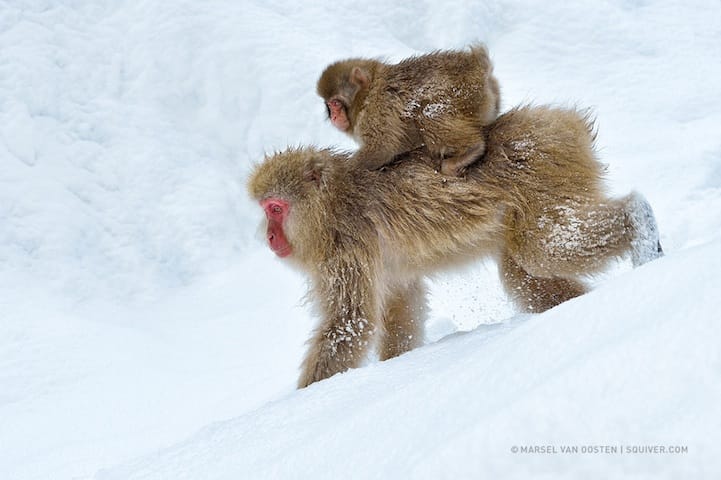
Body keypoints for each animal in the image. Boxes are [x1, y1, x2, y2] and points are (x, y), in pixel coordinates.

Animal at [249, 107, 664, 388]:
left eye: (276, 209)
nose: (268, 237)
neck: (332, 203)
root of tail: (559, 122)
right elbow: (402, 303)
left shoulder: (345, 247)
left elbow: (350, 323)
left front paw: (304, 399)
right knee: (526, 271)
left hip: (542, 174)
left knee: (543, 248)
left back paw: (638, 221)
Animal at [318, 44, 498, 176]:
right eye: (329, 105)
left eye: (336, 103)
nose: (334, 117)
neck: (368, 92)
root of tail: (478, 68)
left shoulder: (376, 110)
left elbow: (381, 148)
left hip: (464, 95)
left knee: (427, 115)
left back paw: (471, 150)